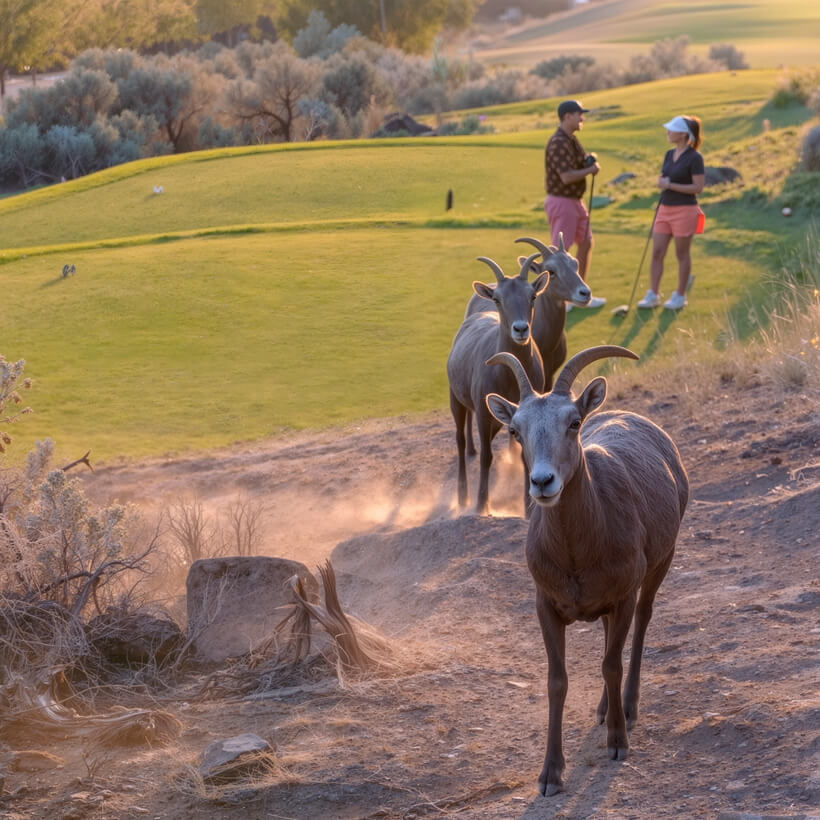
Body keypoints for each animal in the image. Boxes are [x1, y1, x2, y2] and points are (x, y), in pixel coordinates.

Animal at [447, 253, 548, 515]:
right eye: (497, 299)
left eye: (533, 296)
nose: (520, 329)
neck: (509, 376)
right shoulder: (484, 413)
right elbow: (486, 457)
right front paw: (481, 505)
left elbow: (526, 456)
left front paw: (528, 507)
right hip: (455, 399)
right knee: (460, 441)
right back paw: (462, 496)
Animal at [484, 345, 689, 796]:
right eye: (516, 431)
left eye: (573, 423)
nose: (543, 482)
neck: (577, 554)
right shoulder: (546, 606)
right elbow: (557, 681)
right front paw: (550, 775)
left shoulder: (624, 595)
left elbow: (611, 664)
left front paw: (617, 743)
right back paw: (603, 708)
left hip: (660, 565)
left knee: (641, 625)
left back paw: (625, 708)